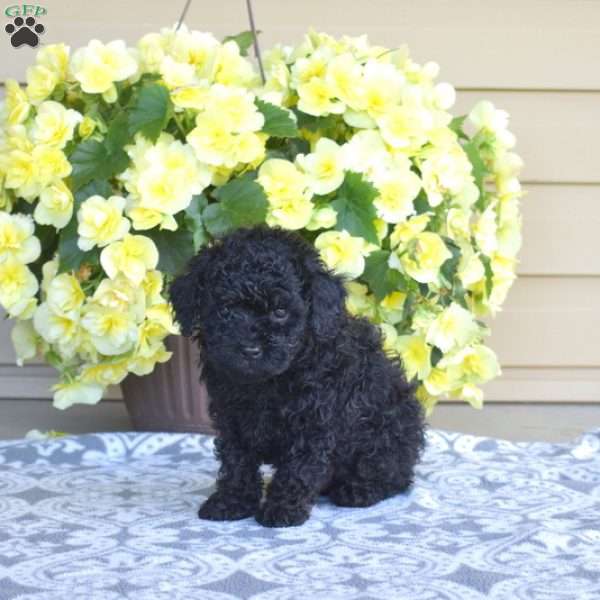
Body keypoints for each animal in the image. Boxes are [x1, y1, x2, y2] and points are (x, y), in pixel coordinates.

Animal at [170, 225, 426, 524]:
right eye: (225, 311)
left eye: (280, 312)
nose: (250, 349)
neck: (266, 382)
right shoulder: (231, 418)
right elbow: (237, 463)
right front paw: (231, 502)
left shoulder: (312, 422)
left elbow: (298, 469)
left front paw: (282, 509)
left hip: (386, 433)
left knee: (394, 475)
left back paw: (359, 490)